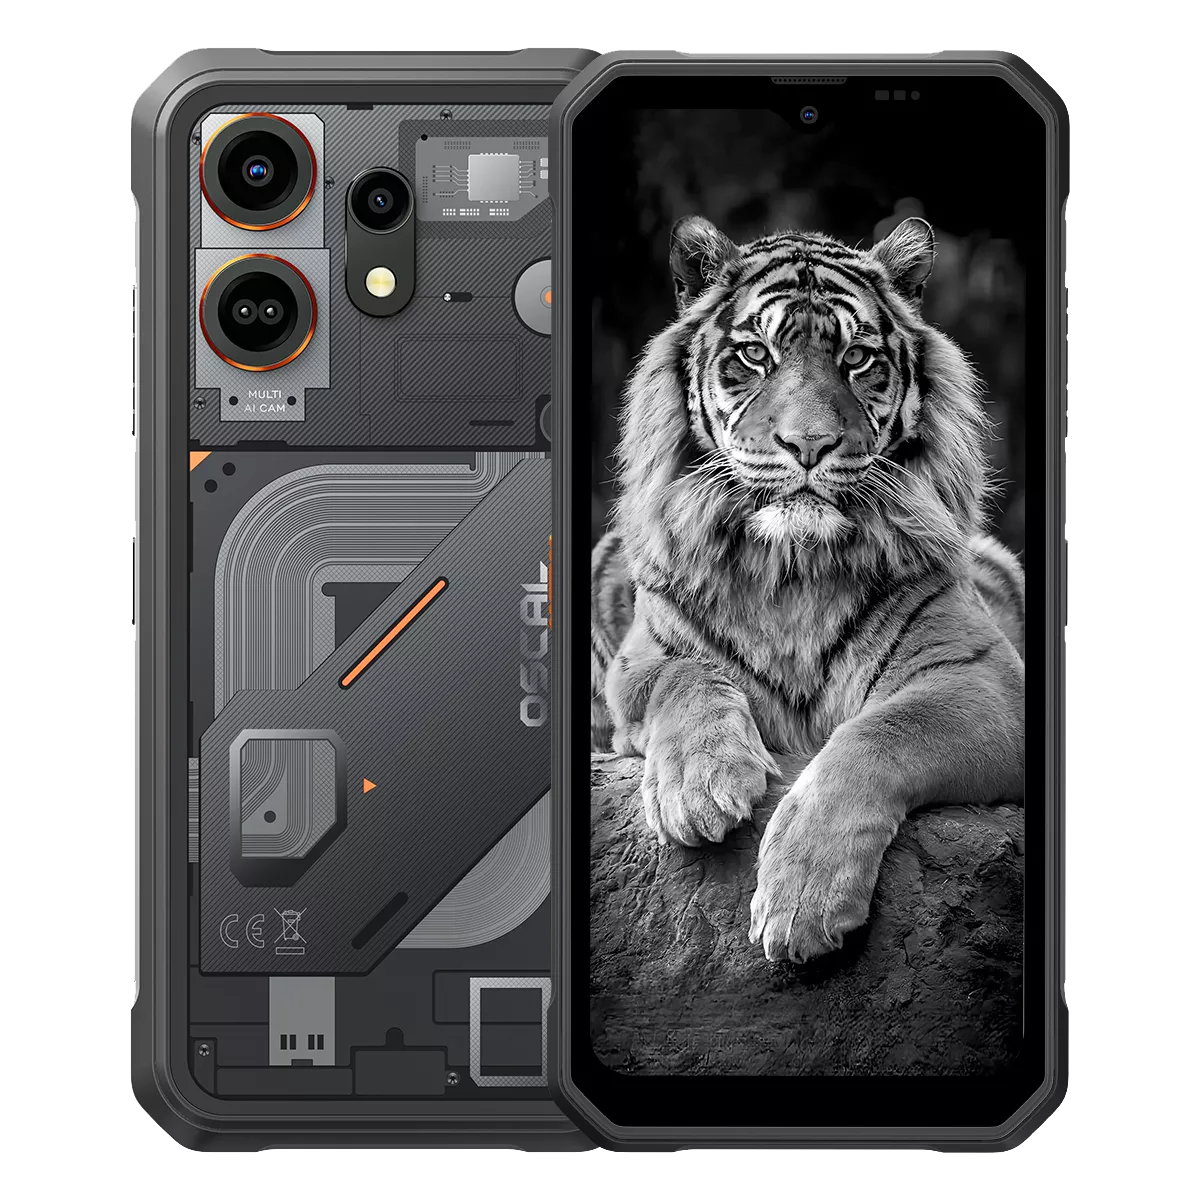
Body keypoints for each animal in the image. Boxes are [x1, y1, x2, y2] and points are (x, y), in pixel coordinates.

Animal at [591, 214, 1025, 963]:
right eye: (754, 355)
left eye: (856, 359)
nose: (810, 445)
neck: (791, 568)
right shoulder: (640, 662)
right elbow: (686, 676)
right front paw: (700, 786)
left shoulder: (986, 678)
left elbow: (880, 732)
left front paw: (802, 900)